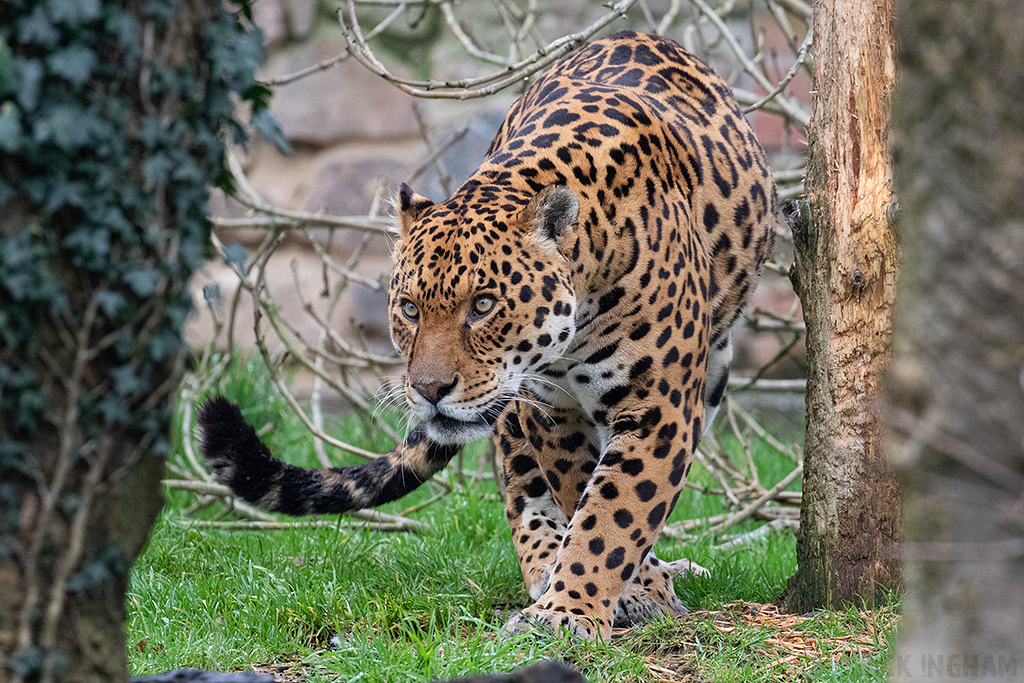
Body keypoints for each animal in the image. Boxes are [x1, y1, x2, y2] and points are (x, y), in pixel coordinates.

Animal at [199, 30, 776, 641]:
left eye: (482, 306)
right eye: (408, 309)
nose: (429, 390)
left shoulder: (656, 408)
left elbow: (616, 511)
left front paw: (571, 611)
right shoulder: (552, 411)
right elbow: (585, 497)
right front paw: (603, 595)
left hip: (709, 377)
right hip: (517, 413)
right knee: (522, 488)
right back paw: (552, 567)